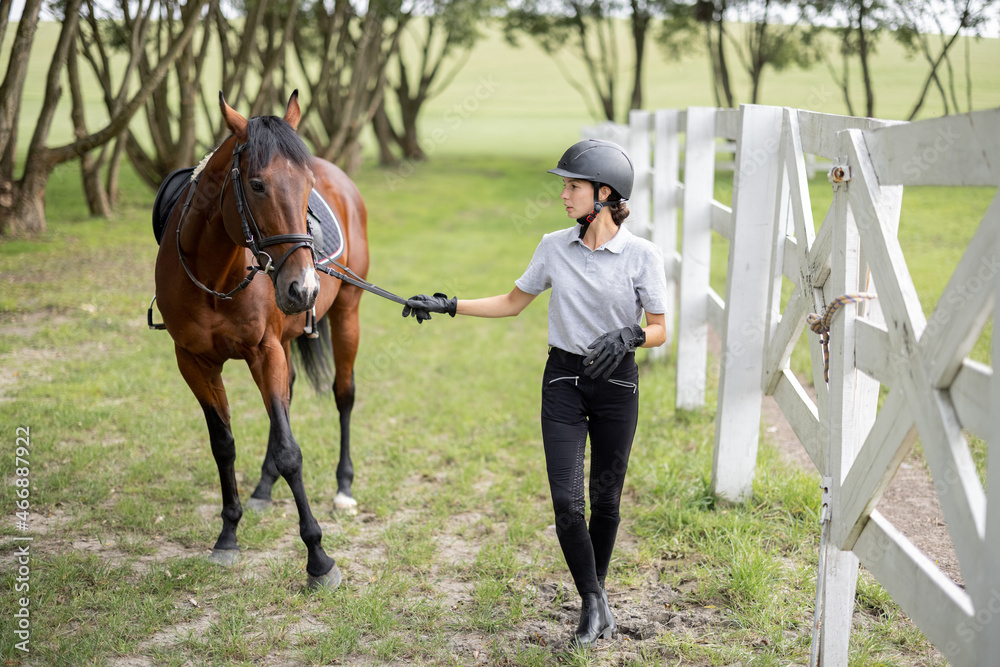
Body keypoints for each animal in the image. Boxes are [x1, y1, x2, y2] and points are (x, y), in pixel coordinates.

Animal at [152, 90, 364, 588]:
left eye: (307, 185)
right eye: (256, 185)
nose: (303, 288)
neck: (215, 276)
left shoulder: (264, 352)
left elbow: (290, 451)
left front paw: (319, 560)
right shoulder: (194, 361)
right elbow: (223, 444)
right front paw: (228, 535)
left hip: (347, 313)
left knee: (343, 394)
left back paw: (343, 487)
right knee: (285, 401)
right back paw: (264, 489)